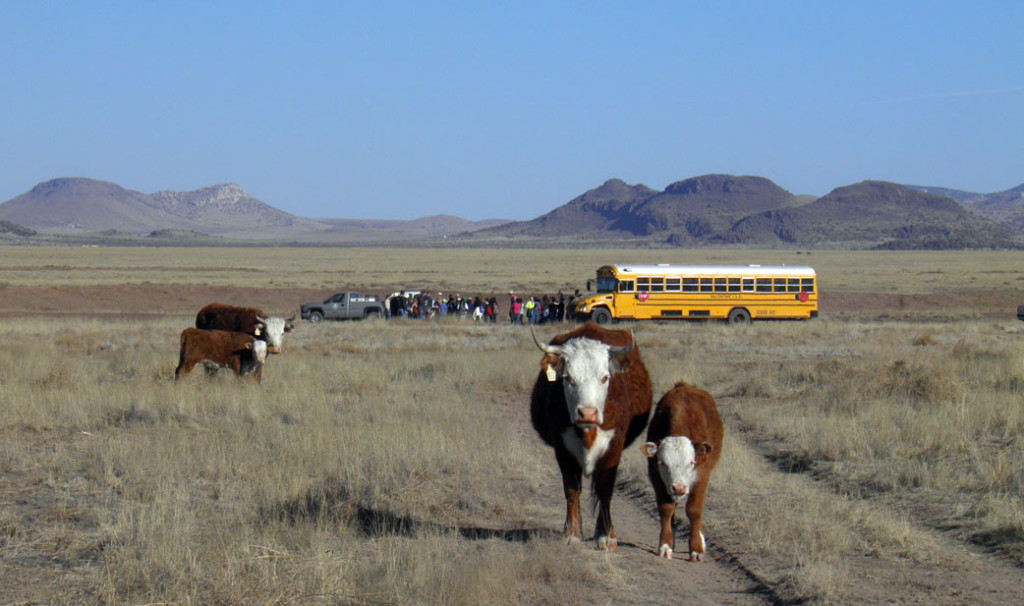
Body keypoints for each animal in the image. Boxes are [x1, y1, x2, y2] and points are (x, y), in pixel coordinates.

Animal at [530, 322, 652, 550]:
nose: (587, 413)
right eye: (568, 378)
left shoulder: (614, 446)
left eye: (605, 378)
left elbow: (604, 489)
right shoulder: (562, 448)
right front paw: (571, 533)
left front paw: (606, 536)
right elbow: (571, 489)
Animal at [641, 381, 724, 561]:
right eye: (662, 463)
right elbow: (666, 509)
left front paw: (697, 548)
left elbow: (694, 510)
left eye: (691, 462)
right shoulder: (656, 477)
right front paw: (666, 545)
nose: (678, 488)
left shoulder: (701, 476)